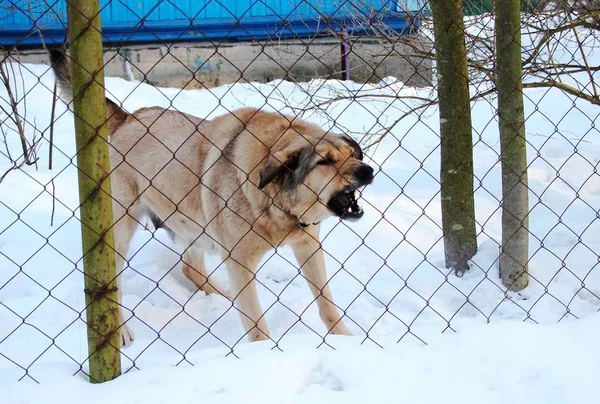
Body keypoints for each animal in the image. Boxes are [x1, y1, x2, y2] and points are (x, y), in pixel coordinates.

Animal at [49, 49, 376, 348]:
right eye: (325, 161)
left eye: (352, 155)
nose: (368, 171)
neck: (276, 204)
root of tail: (130, 117)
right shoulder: (240, 261)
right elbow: (257, 324)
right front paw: (263, 353)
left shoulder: (308, 246)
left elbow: (326, 303)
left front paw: (346, 340)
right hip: (120, 230)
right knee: (111, 283)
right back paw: (121, 332)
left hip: (194, 225)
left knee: (191, 268)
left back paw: (223, 296)